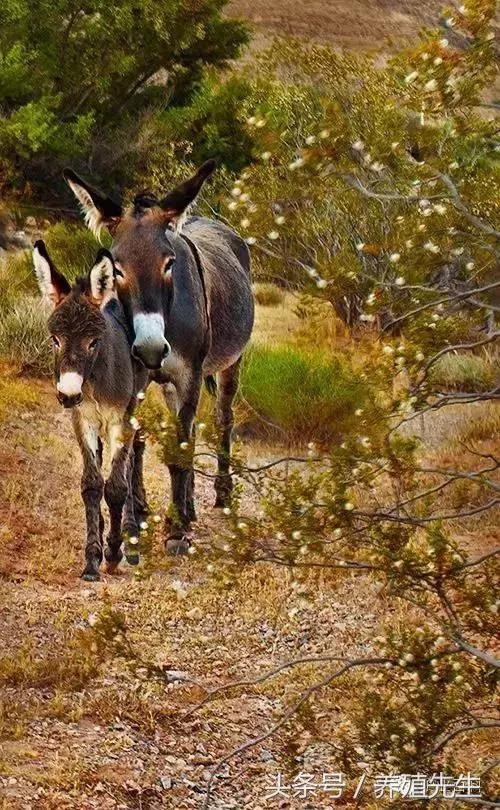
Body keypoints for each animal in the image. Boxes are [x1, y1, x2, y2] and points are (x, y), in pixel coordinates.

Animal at [32, 237, 146, 576]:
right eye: (55, 340)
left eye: (94, 342)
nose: (68, 394)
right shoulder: (82, 419)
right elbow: (93, 484)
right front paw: (92, 558)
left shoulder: (119, 418)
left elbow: (116, 486)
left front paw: (114, 551)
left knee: (133, 455)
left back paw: (131, 533)